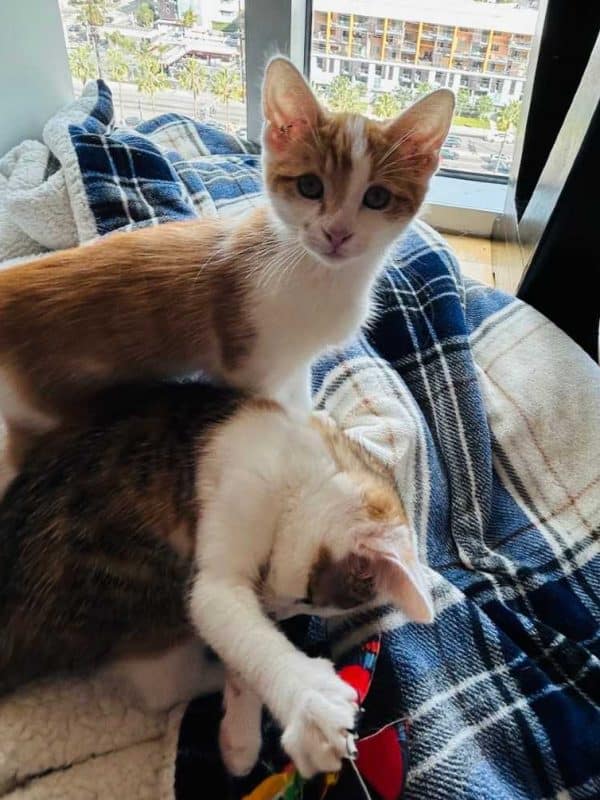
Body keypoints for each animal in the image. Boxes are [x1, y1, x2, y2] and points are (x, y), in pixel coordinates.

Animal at [0, 56, 453, 468]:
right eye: (310, 186)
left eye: (376, 197)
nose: (337, 233)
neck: (318, 272)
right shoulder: (249, 367)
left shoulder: (296, 359)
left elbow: (298, 393)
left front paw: (314, 419)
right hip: (48, 406)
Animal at [0, 380, 431, 778]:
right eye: (307, 598)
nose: (276, 611)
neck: (301, 464)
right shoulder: (246, 491)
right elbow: (230, 619)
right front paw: (308, 702)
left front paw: (239, 733)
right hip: (141, 595)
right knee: (164, 688)